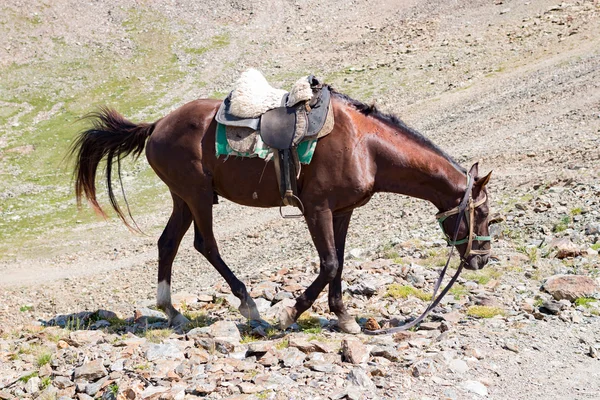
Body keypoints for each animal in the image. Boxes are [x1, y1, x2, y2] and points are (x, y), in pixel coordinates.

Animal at [71, 89, 492, 332]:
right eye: (485, 214)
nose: (481, 259)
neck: (366, 146)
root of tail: (158, 124)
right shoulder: (317, 209)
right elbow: (330, 264)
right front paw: (293, 313)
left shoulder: (342, 211)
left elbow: (339, 261)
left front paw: (343, 317)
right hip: (197, 195)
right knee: (205, 246)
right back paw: (249, 306)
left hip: (183, 198)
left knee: (167, 244)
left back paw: (172, 311)